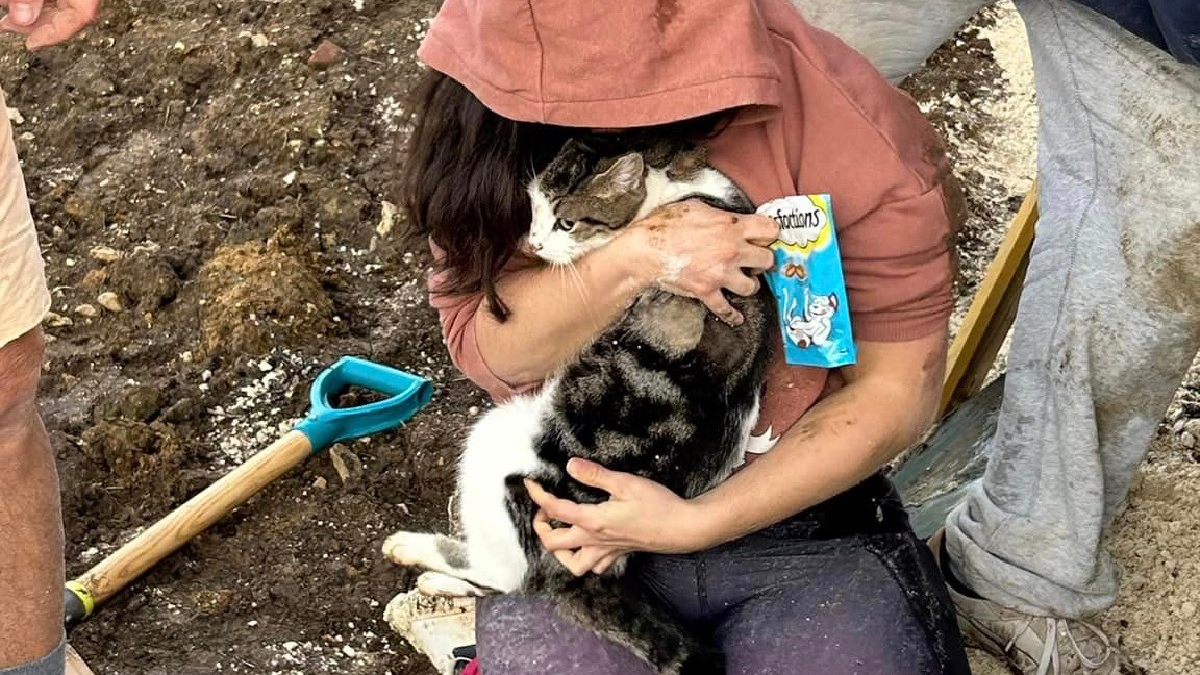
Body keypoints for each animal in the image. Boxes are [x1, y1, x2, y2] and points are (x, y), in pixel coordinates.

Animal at [384, 138, 777, 672]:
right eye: (532, 210)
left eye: (566, 222)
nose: (533, 245)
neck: (665, 190)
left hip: (493, 444)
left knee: (510, 575)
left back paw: (416, 552)